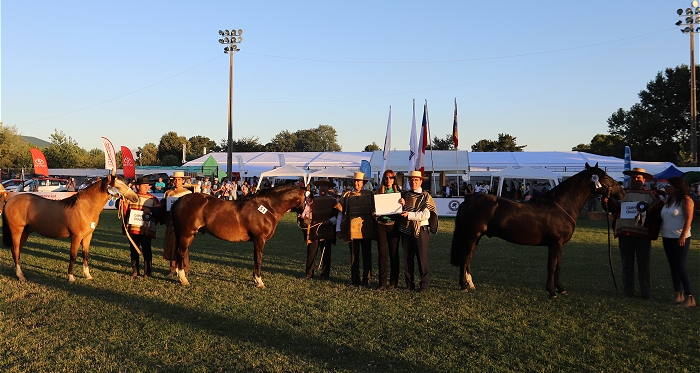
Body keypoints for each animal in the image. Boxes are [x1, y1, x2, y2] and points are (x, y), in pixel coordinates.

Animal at [3, 174, 138, 282]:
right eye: (118, 186)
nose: (135, 198)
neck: (85, 207)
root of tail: (9, 200)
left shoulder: (88, 236)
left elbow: (86, 254)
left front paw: (87, 275)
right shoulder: (76, 236)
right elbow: (73, 255)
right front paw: (71, 277)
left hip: (25, 232)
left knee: (16, 251)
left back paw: (18, 272)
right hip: (16, 231)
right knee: (16, 250)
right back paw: (21, 276)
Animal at [165, 185, 308, 286]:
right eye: (309, 199)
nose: (306, 220)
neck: (267, 207)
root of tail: (181, 199)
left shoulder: (256, 241)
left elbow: (255, 258)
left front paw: (255, 279)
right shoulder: (259, 239)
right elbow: (259, 259)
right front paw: (259, 281)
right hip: (186, 235)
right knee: (181, 252)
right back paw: (183, 279)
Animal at [452, 163, 628, 296]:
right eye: (605, 177)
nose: (622, 192)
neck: (561, 206)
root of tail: (468, 201)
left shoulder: (560, 245)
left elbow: (558, 266)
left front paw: (561, 289)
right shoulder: (555, 243)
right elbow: (551, 266)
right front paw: (551, 291)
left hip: (476, 237)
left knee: (468, 258)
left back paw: (470, 284)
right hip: (471, 236)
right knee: (465, 257)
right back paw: (464, 286)